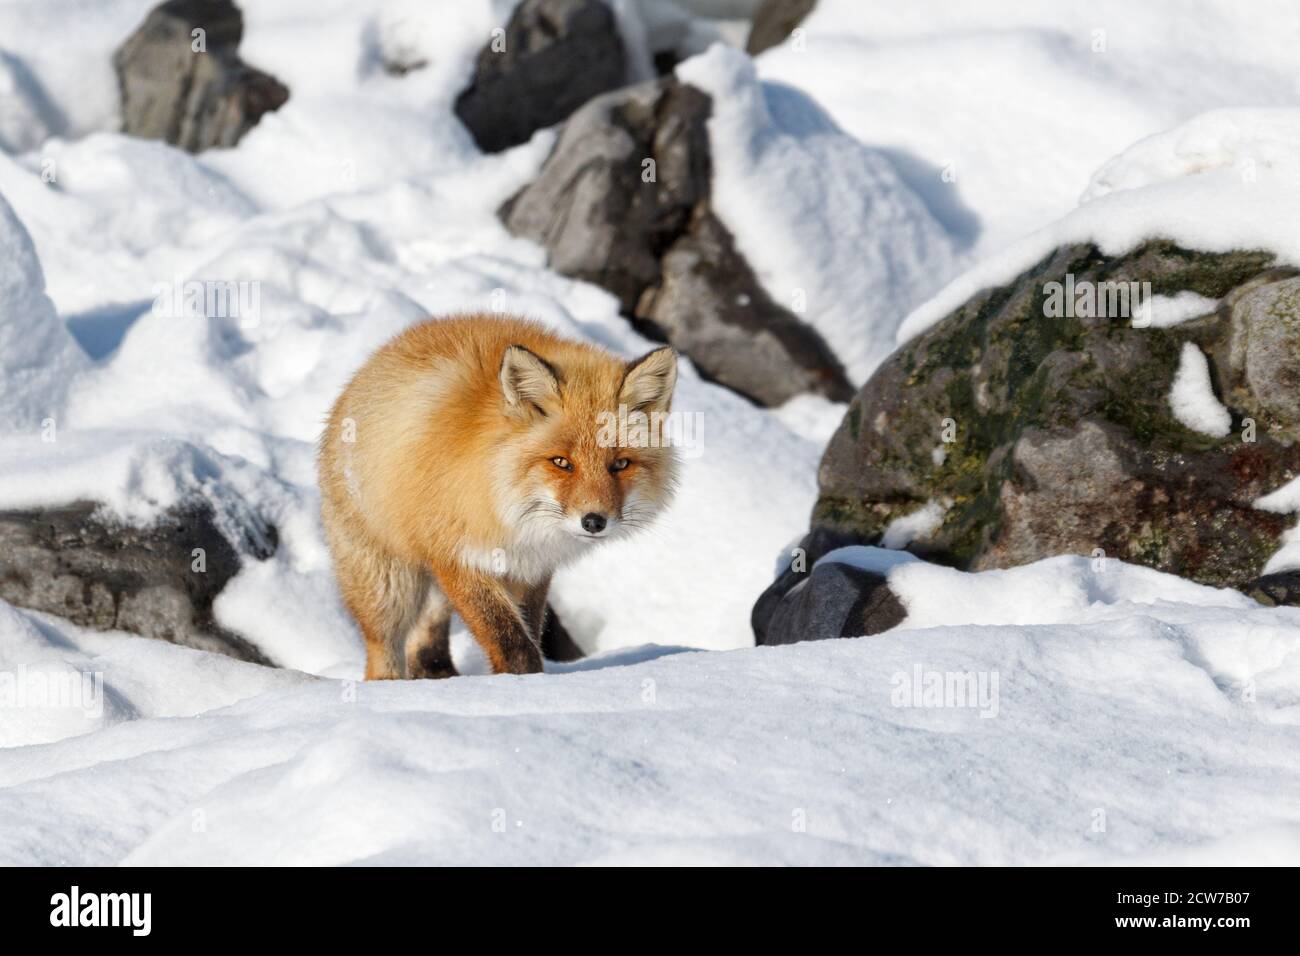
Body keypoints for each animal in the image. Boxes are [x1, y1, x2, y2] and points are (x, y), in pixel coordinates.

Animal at [319, 316, 681, 681]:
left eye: (620, 464)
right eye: (561, 462)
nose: (594, 521)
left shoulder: (530, 570)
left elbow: (528, 631)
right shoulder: (459, 558)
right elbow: (512, 641)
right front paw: (516, 683)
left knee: (425, 642)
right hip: (389, 586)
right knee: (384, 648)